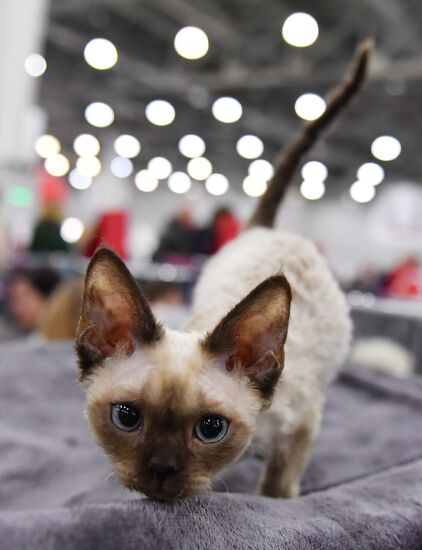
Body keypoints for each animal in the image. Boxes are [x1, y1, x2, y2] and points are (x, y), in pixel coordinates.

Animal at [76, 41, 372, 502]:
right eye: (126, 417)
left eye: (211, 429)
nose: (161, 471)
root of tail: (266, 229)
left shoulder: (303, 426)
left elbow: (278, 488)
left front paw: (273, 499)